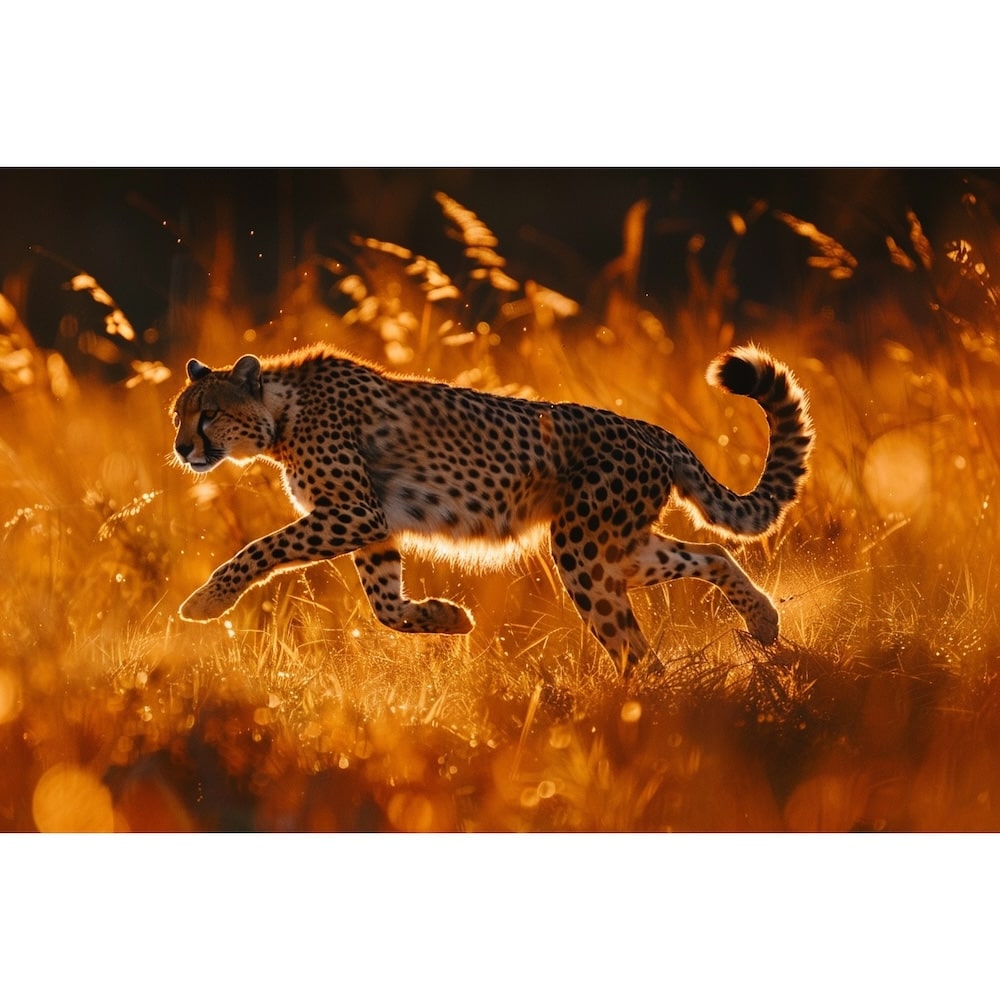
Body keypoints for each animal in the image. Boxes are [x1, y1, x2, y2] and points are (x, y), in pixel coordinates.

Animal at [170, 343, 813, 677]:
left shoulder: (355, 512)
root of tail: (650, 429)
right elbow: (385, 606)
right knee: (713, 552)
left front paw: (205, 602)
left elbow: (260, 548)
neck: (280, 415)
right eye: (179, 414)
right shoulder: (373, 526)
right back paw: (762, 623)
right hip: (618, 548)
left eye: (207, 414)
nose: (181, 448)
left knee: (633, 647)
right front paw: (448, 619)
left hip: (584, 553)